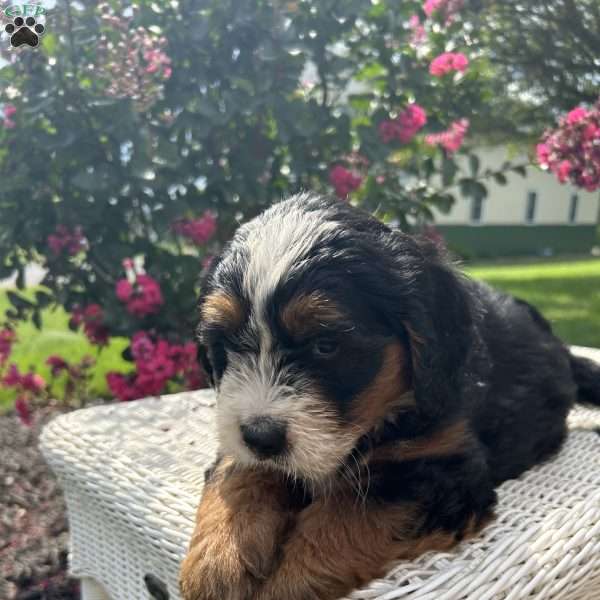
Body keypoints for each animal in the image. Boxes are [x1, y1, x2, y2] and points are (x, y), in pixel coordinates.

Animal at [179, 193, 600, 600]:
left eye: (326, 346)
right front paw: (219, 561)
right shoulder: (240, 439)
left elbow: (351, 513)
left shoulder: (445, 470)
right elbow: (239, 472)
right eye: (224, 344)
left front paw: (285, 582)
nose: (261, 437)